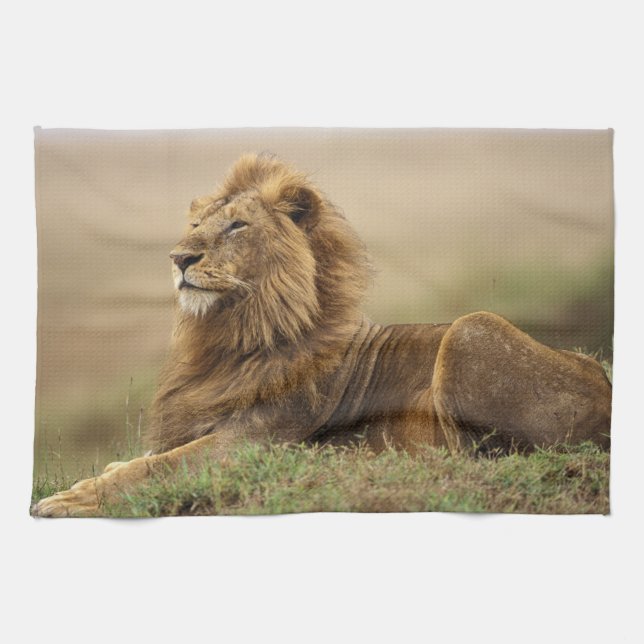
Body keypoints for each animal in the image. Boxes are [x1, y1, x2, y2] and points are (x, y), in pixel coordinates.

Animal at [32, 153, 612, 517]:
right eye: (196, 226)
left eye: (237, 226)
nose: (178, 258)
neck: (231, 335)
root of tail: (608, 387)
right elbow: (139, 461)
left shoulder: (255, 440)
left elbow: (154, 469)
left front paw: (70, 499)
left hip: (473, 328)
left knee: (471, 456)